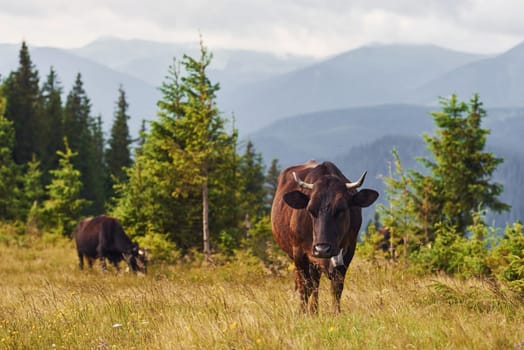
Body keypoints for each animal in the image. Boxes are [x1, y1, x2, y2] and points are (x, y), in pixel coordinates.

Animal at [272, 160, 378, 314]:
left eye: (341, 209)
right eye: (310, 210)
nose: (322, 249)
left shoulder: (348, 251)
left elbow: (337, 287)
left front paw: (336, 313)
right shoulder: (299, 253)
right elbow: (305, 287)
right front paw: (302, 313)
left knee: (316, 282)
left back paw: (314, 310)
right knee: (309, 284)